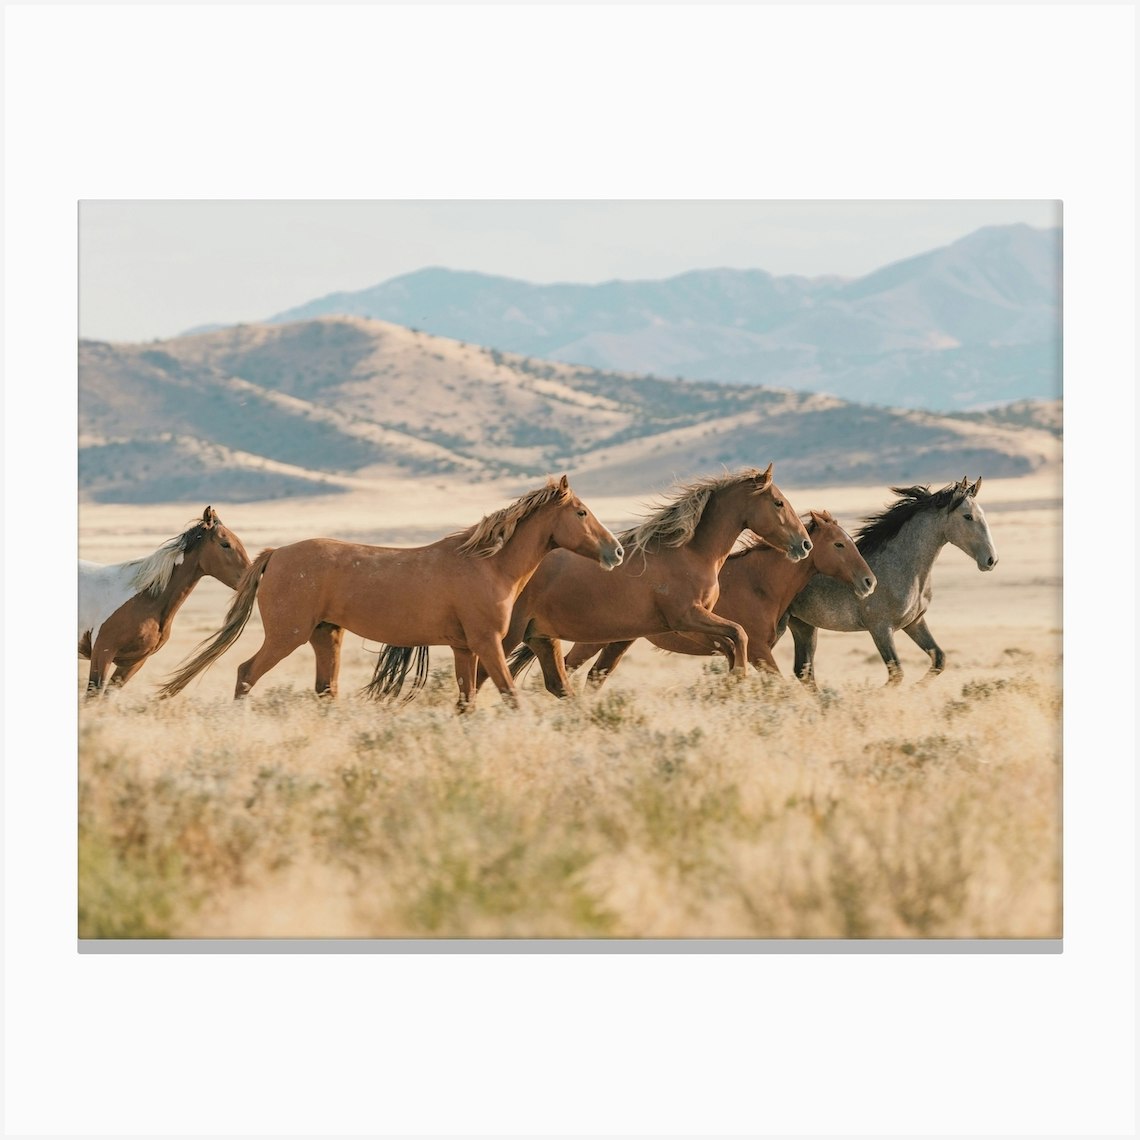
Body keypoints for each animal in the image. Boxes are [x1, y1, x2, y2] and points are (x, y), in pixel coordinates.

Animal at [160, 474, 620, 711]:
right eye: (582, 512)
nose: (615, 551)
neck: (488, 563)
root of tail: (275, 555)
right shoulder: (488, 643)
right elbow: (510, 695)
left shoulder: (465, 649)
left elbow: (467, 701)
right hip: (286, 637)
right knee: (246, 674)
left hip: (326, 636)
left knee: (326, 690)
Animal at [485, 460, 816, 693]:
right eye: (778, 502)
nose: (804, 544)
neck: (690, 553)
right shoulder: (686, 618)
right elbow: (739, 634)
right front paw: (738, 678)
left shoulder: (692, 624)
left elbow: (732, 641)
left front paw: (733, 680)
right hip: (517, 634)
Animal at [556, 510, 875, 684]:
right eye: (839, 544)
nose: (869, 581)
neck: (759, 583)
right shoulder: (758, 650)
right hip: (594, 640)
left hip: (618, 642)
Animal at [784, 474, 998, 684]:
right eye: (968, 516)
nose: (991, 560)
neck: (902, 569)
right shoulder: (881, 629)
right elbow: (896, 674)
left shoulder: (914, 623)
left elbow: (939, 659)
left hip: (803, 625)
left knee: (803, 671)